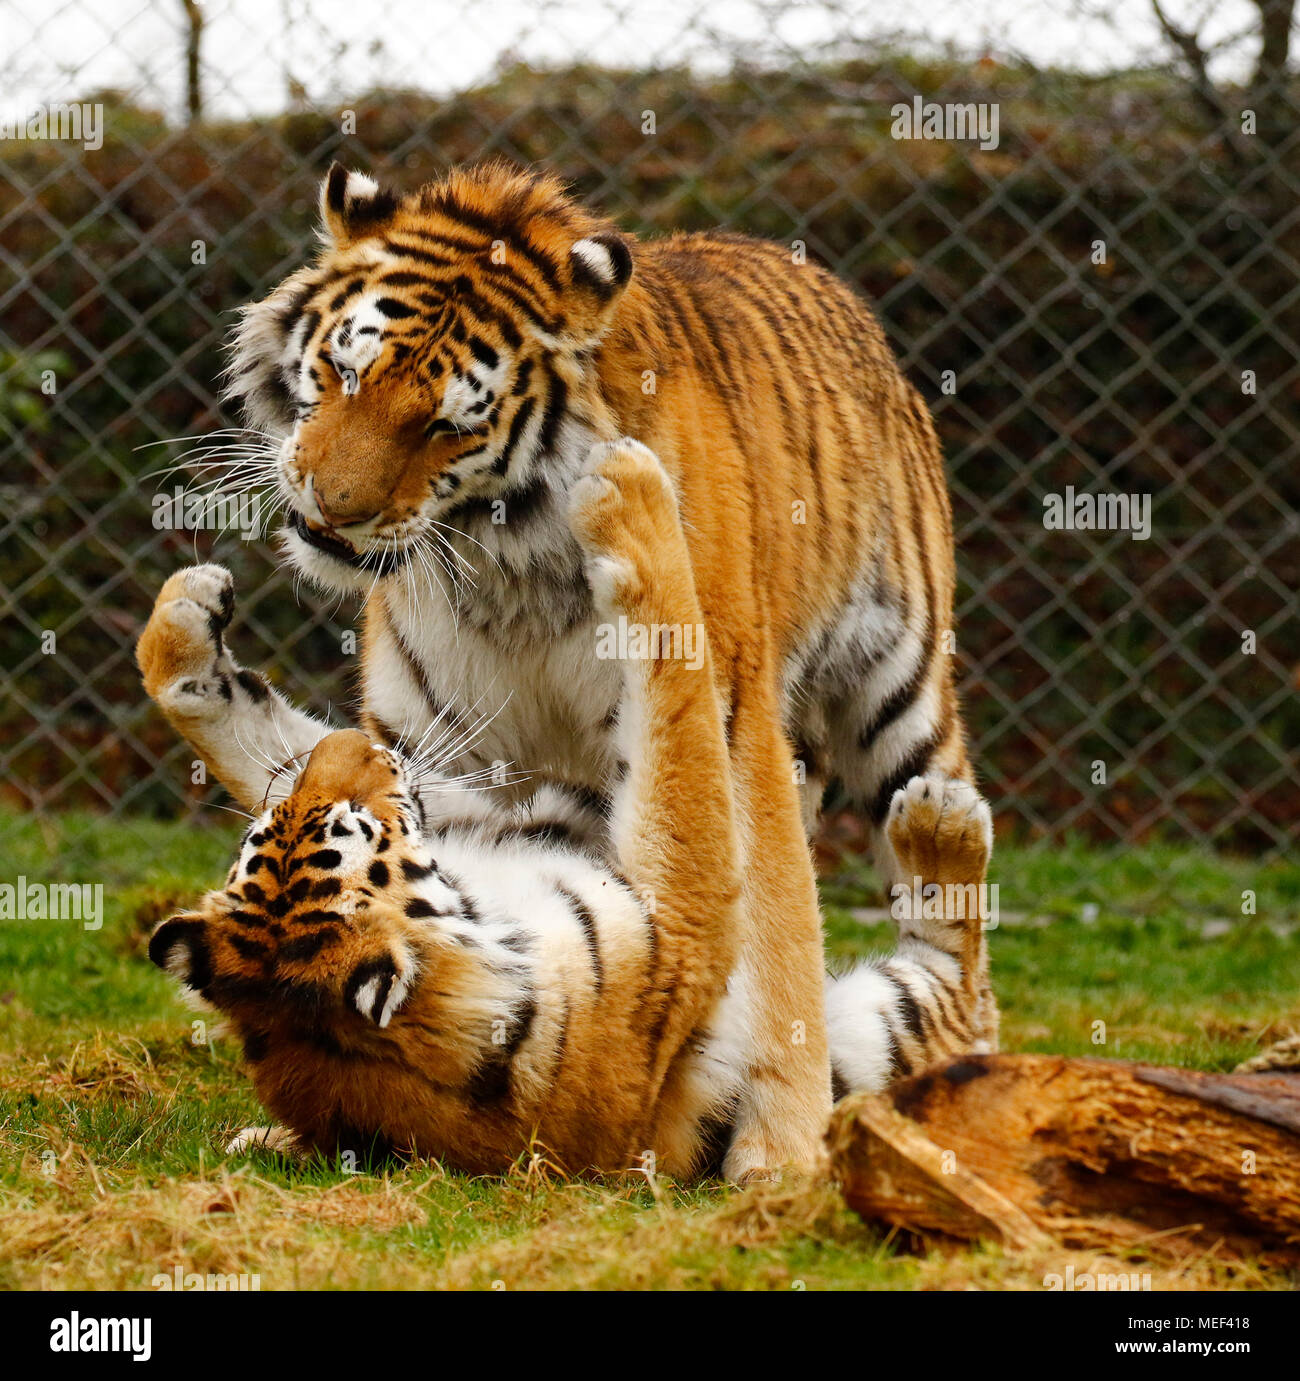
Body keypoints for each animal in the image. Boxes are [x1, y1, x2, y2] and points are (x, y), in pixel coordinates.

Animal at [136, 161, 978, 1176]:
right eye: (344, 372)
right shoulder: (437, 758)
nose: (331, 514)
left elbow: (777, 937)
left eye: (445, 427)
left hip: (902, 691)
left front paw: (781, 1155)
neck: (507, 568)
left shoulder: (733, 728)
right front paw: (189, 624)